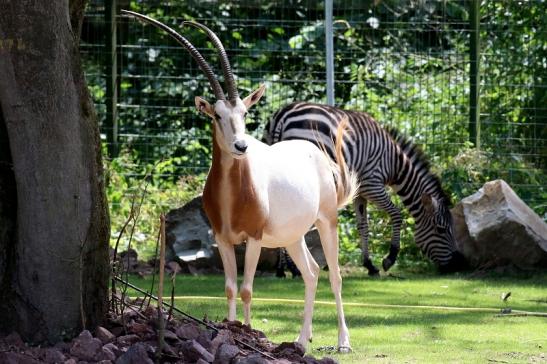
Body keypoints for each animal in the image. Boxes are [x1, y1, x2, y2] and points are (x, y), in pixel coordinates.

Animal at [266, 101, 466, 274]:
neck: (394, 164)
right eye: (440, 229)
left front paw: (369, 264)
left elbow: (363, 225)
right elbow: (396, 214)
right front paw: (390, 258)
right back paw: (292, 269)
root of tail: (283, 115)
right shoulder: (372, 184)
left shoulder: (359, 192)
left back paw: (282, 269)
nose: (458, 264)